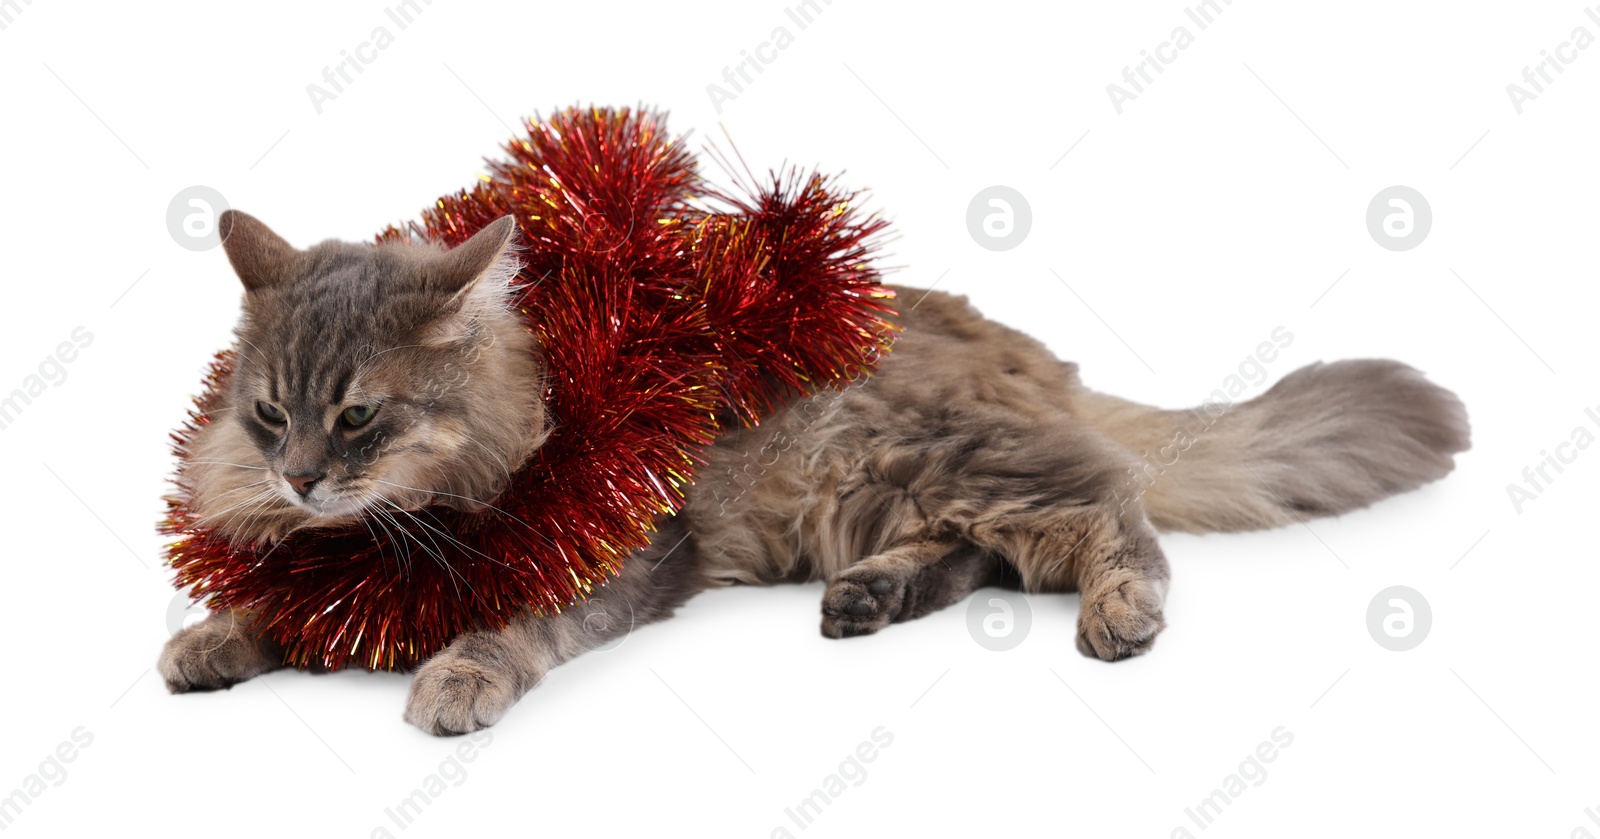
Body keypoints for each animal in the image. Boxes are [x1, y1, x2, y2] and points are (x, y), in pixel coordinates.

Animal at [162, 209, 1472, 733]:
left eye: (360, 417)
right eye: (268, 413)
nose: (299, 480)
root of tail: (1032, 354)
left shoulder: (629, 552)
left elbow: (511, 623)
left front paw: (457, 674)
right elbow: (273, 604)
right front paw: (212, 634)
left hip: (925, 452)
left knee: (1109, 509)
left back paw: (1120, 611)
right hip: (878, 493)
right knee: (985, 555)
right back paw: (870, 596)